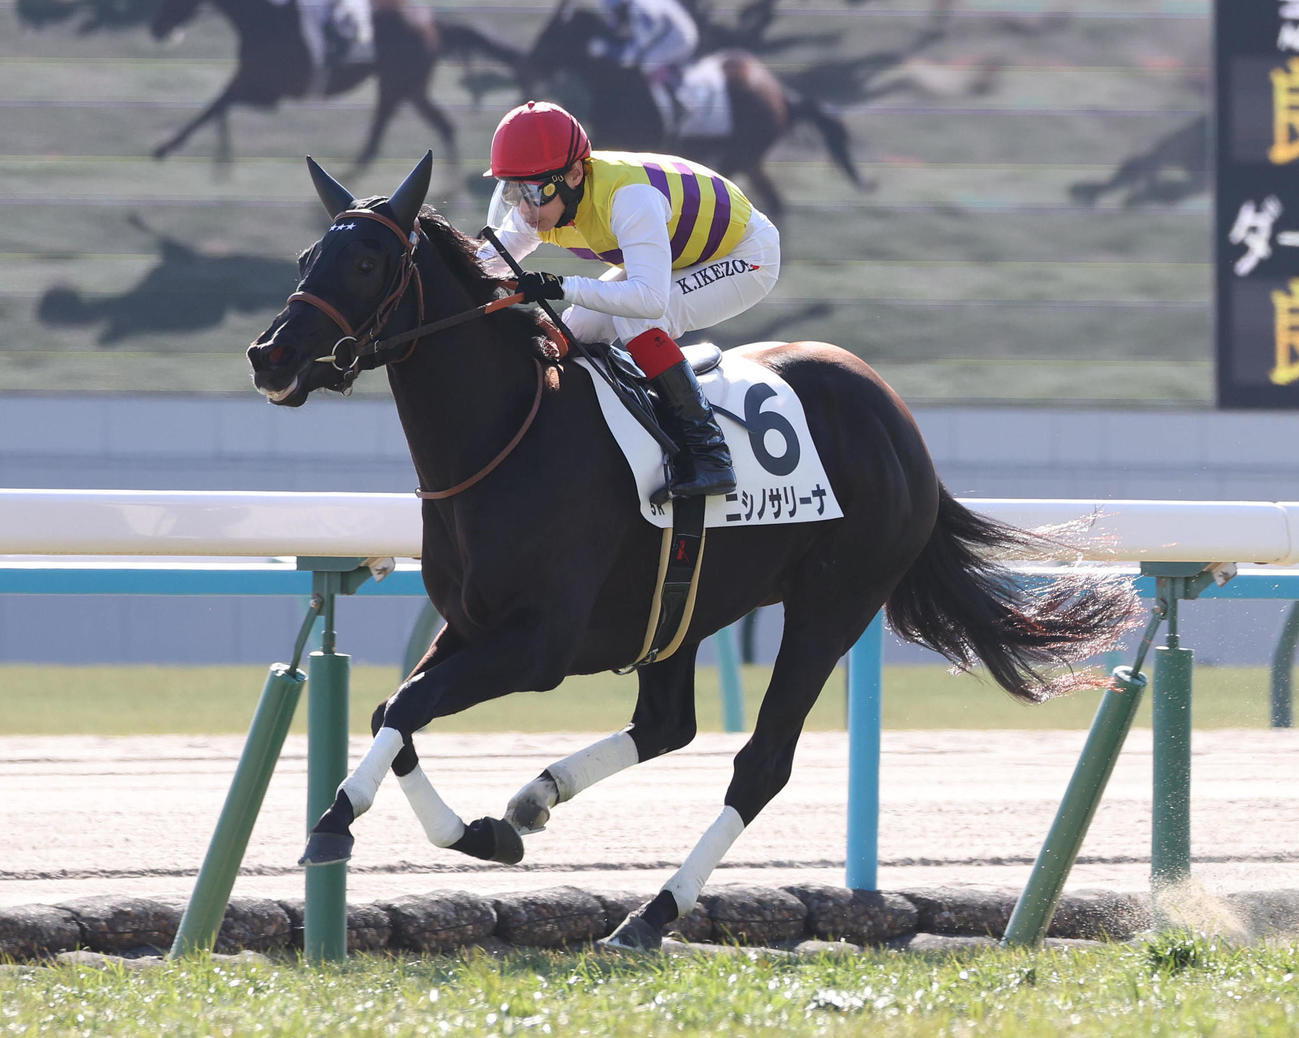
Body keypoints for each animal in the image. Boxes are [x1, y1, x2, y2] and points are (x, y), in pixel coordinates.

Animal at [148, 0, 517, 167]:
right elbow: (218, 106)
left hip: (398, 86)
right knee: (441, 128)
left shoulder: (265, 89)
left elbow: (215, 106)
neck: (264, 17)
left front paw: (165, 147)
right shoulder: (258, 86)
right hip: (409, 89)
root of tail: (432, 24)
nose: (157, 29)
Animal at [247, 152, 1139, 950]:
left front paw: (335, 824)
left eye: (366, 261)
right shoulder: (470, 624)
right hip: (685, 603)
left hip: (832, 604)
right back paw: (539, 795)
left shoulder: (539, 646)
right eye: (307, 258)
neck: (509, 435)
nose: (270, 355)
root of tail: (896, 415)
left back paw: (652, 914)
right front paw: (481, 832)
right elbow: (392, 709)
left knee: (761, 763)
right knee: (667, 724)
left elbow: (408, 704)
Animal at [517, 1, 865, 219]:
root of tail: (779, 92)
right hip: (749, 158)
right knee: (774, 203)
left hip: (738, 156)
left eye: (557, 35)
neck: (618, 81)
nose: (529, 66)